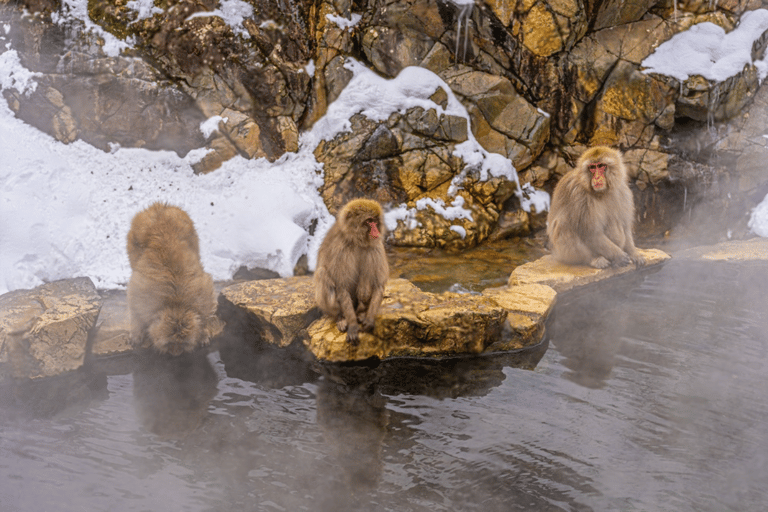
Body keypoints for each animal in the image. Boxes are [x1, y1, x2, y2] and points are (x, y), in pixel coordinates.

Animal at [127, 202, 222, 356]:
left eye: (182, 343)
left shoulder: (204, 298)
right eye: (170, 343)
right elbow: (134, 309)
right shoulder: (141, 296)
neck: (176, 304)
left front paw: (203, 333)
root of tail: (159, 206)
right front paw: (136, 334)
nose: (176, 354)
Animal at [314, 199, 389, 345]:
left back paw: (361, 312)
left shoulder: (375, 247)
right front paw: (353, 325)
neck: (357, 241)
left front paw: (369, 319)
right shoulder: (341, 250)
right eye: (369, 221)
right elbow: (341, 286)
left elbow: (378, 284)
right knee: (322, 273)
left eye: (376, 221)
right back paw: (341, 317)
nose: (376, 231)